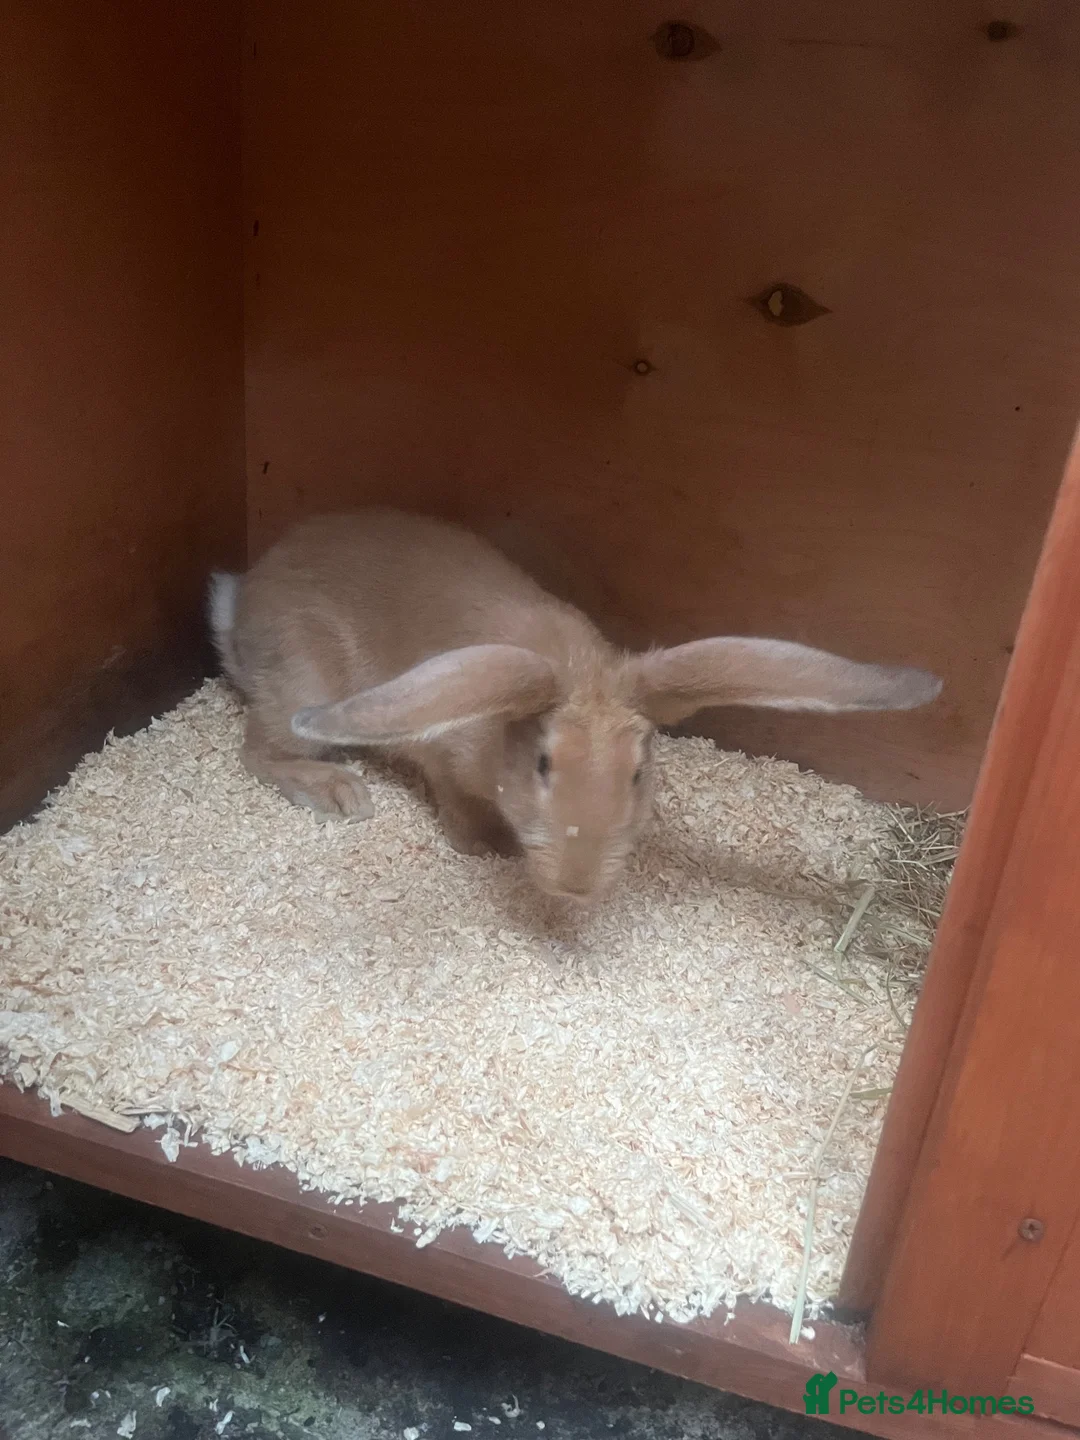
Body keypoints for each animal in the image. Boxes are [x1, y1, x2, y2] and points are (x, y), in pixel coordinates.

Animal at [208, 508, 942, 904]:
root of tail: (241, 603)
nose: (576, 886)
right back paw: (339, 792)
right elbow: (456, 805)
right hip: (306, 683)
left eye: (639, 774)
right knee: (260, 751)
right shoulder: (445, 757)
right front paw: (485, 847)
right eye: (543, 765)